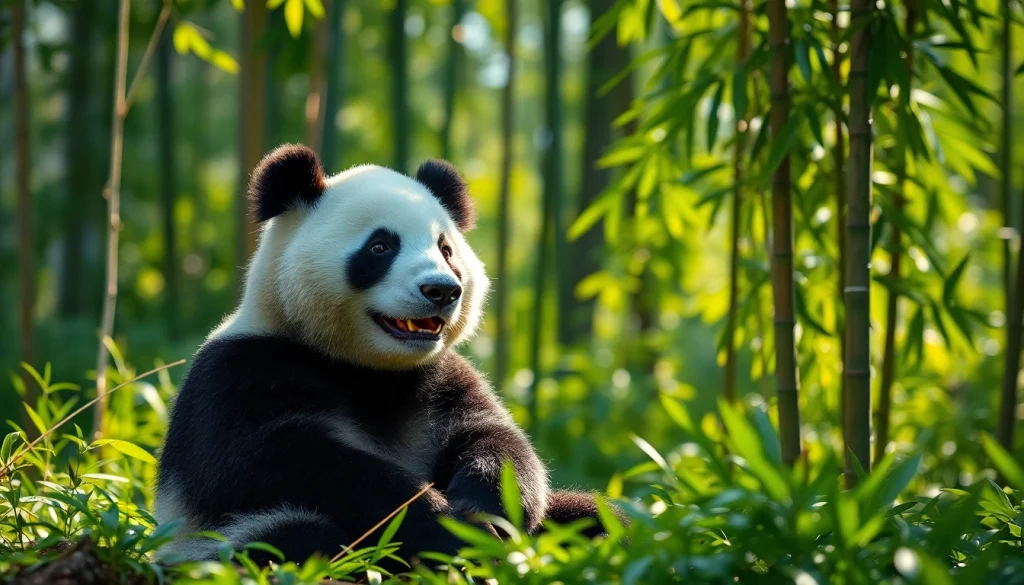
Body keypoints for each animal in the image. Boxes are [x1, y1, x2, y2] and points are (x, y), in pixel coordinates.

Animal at [155, 144, 613, 566]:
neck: (369, 369)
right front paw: (444, 528)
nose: (441, 290)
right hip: (205, 544)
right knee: (291, 538)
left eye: (446, 250)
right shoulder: (241, 370)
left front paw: (486, 512)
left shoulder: (442, 378)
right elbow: (279, 460)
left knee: (595, 517)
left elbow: (494, 436)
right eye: (380, 247)